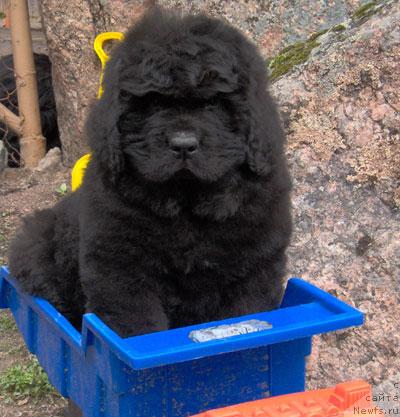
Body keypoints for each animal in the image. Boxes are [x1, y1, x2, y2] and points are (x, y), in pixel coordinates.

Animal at [7, 8, 292, 336]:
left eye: (212, 103)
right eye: (154, 102)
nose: (183, 144)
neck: (186, 203)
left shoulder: (255, 267)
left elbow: (247, 315)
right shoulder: (121, 270)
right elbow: (138, 327)